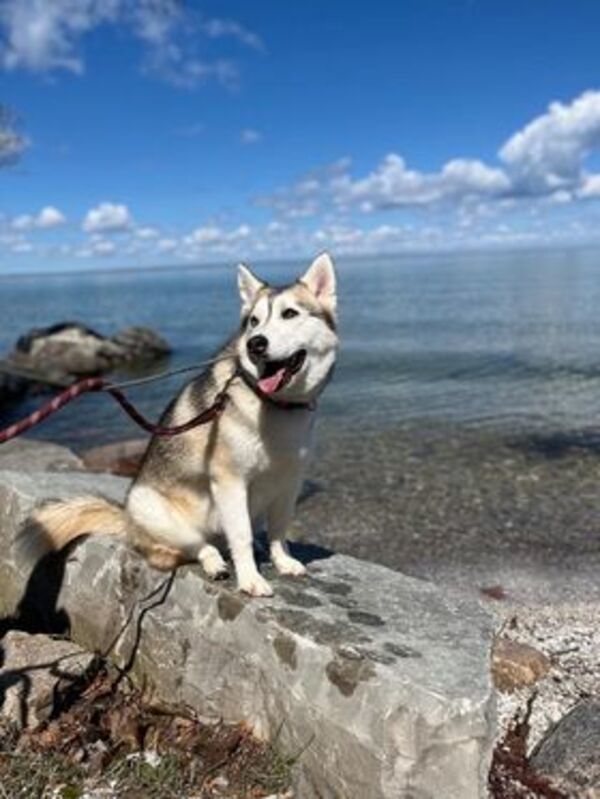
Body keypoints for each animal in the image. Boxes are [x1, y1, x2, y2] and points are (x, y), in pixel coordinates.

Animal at [29, 253, 338, 596]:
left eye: (290, 314)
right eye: (254, 322)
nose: (255, 343)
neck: (274, 403)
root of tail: (128, 523)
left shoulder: (290, 480)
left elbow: (279, 528)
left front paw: (283, 561)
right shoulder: (229, 482)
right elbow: (240, 535)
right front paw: (250, 579)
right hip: (152, 508)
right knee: (193, 547)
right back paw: (215, 563)